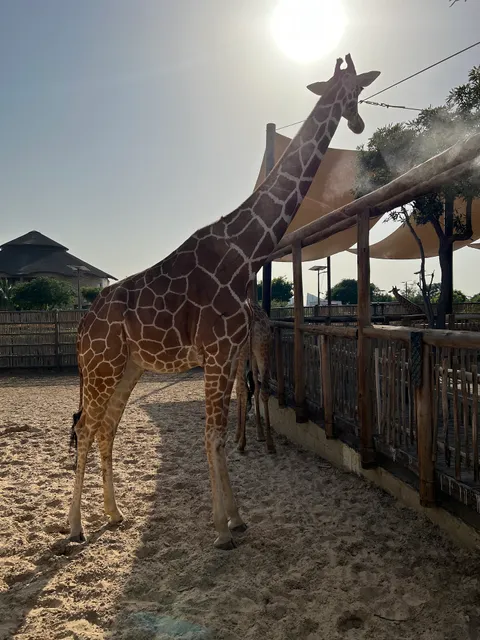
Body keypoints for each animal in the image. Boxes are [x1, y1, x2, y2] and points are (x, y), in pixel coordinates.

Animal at [235, 301, 275, 454]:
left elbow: (239, 389)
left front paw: (237, 434)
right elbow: (255, 386)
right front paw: (259, 432)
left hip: (243, 353)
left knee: (244, 388)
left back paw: (242, 443)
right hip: (263, 349)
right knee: (263, 389)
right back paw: (269, 443)